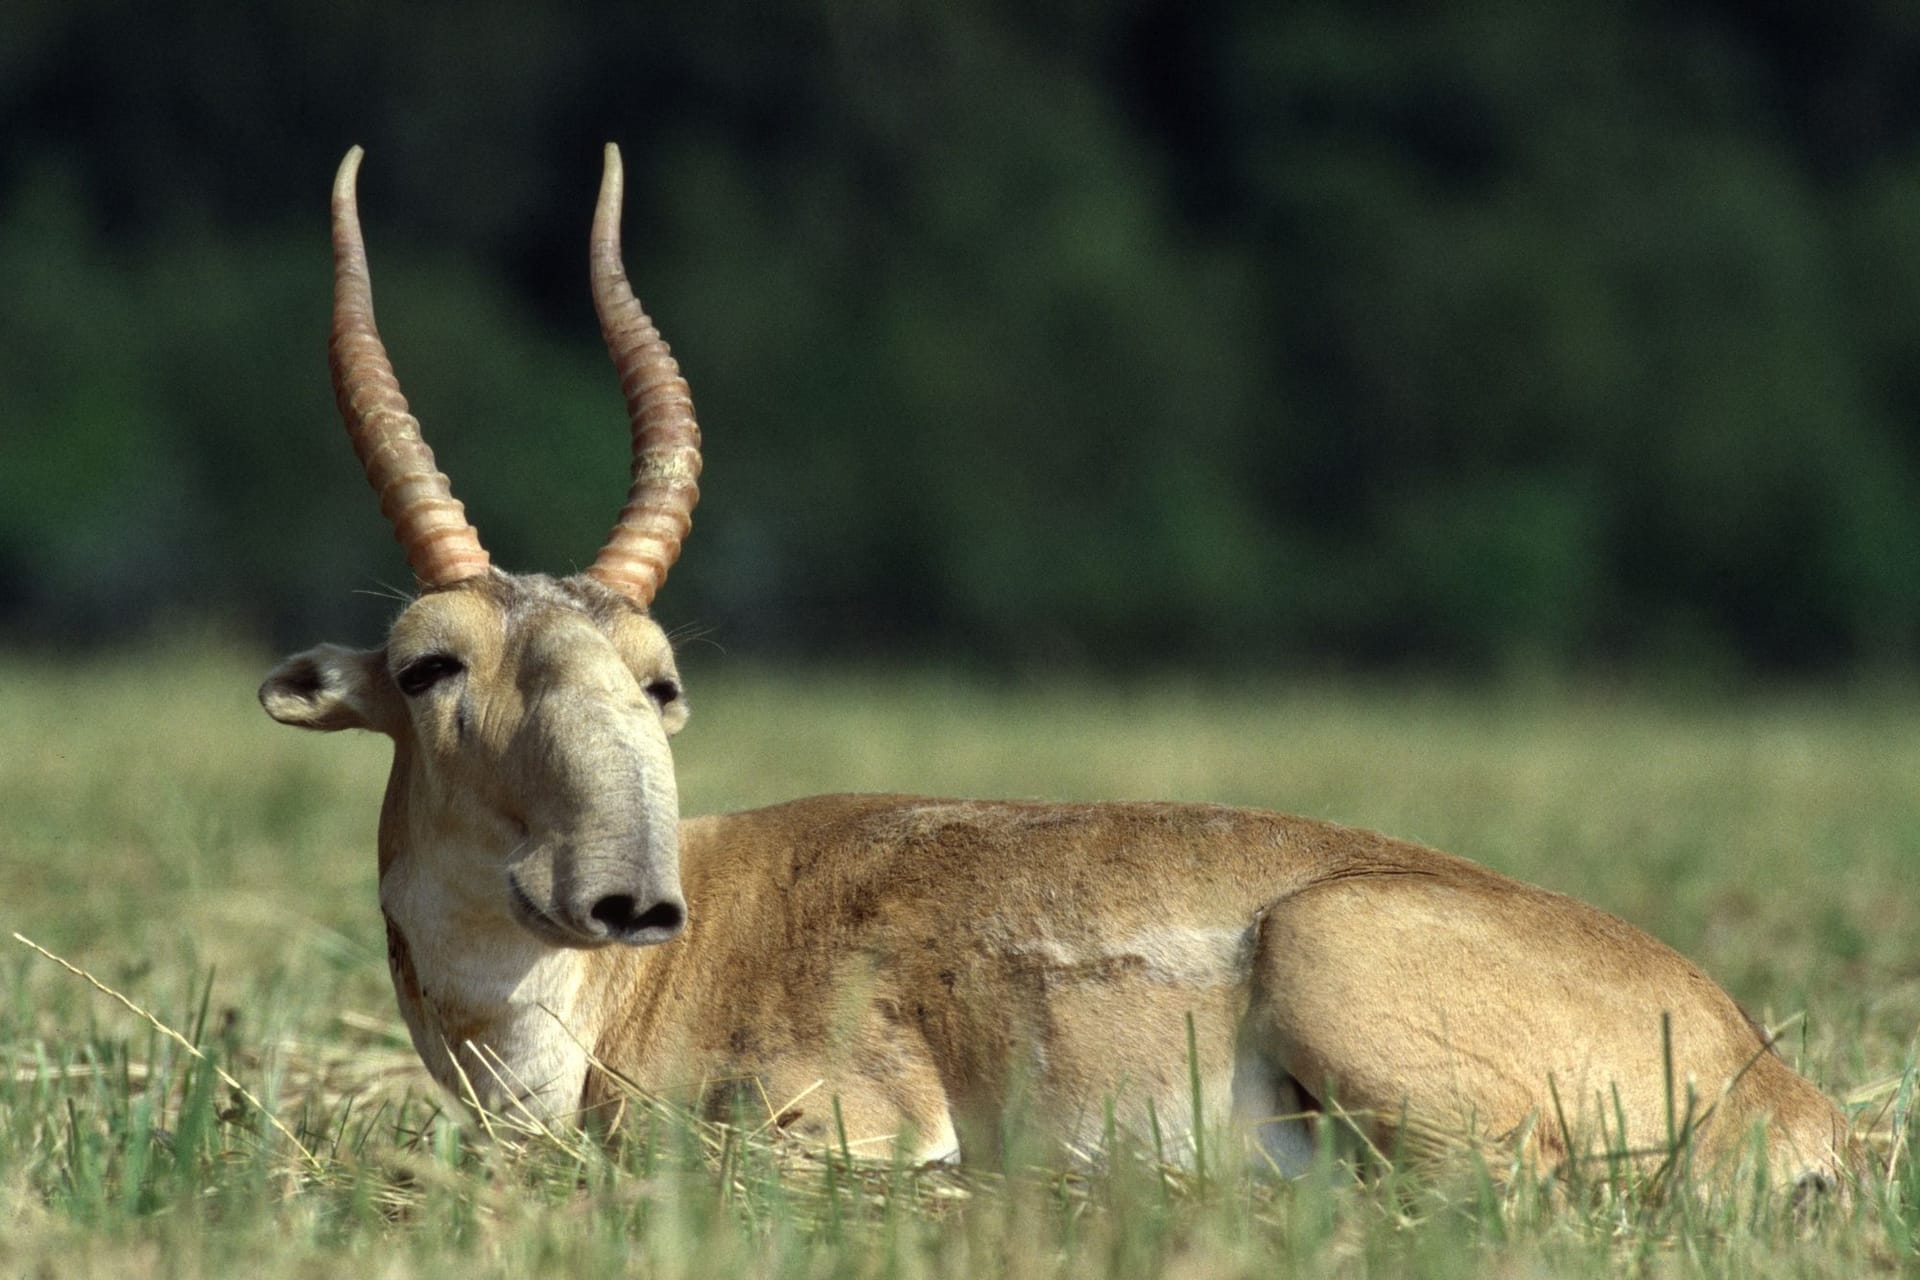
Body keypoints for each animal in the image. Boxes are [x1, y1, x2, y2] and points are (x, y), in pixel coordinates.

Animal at [263, 147, 1850, 1189]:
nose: (624, 898)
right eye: (429, 664)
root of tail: (1778, 1085)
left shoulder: (846, 1116)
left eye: (661, 679)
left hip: (1348, 979)